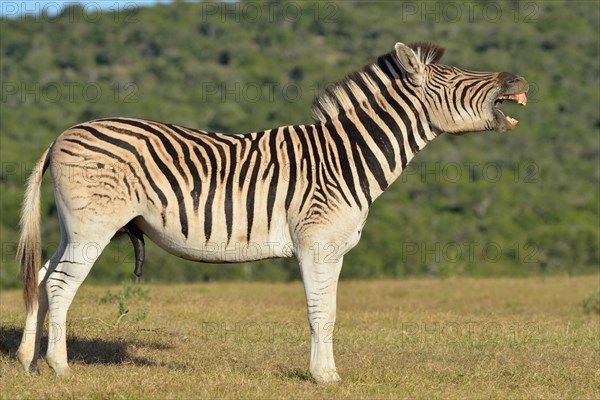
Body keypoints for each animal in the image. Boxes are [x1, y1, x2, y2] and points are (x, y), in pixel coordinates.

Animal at [16, 42, 528, 382]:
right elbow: (323, 312)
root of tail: (61, 135)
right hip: (93, 227)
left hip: (72, 228)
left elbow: (327, 310)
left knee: (41, 276)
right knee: (60, 284)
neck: (346, 158)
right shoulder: (318, 243)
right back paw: (60, 368)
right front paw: (325, 378)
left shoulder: (329, 248)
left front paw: (324, 373)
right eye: (457, 77)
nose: (520, 80)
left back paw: (27, 360)